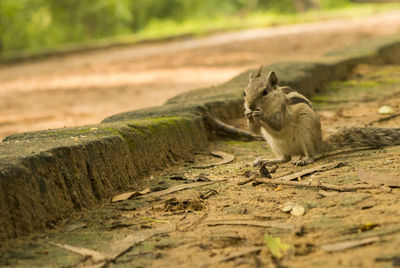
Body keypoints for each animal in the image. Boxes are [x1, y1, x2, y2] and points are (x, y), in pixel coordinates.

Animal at [242, 66, 400, 165]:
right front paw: (248, 114)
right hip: (275, 144)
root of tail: (319, 144)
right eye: (244, 93)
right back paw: (265, 161)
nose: (250, 105)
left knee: (311, 154)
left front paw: (260, 113)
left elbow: (278, 125)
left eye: (265, 92)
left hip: (306, 135)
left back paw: (304, 159)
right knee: (285, 158)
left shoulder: (283, 111)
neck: (270, 105)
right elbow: (255, 130)